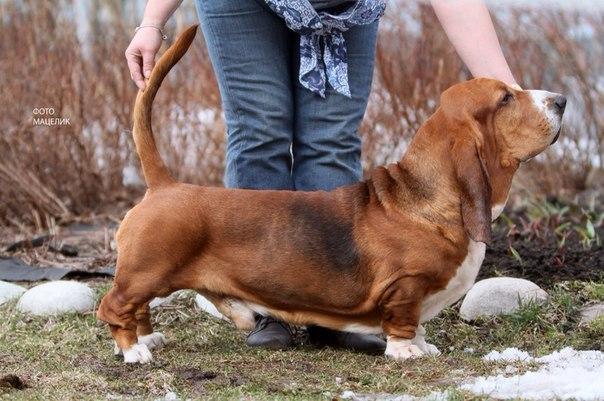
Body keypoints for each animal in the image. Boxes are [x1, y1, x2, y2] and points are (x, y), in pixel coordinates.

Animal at [98, 25, 568, 362]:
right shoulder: (405, 287)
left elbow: (419, 324)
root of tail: (165, 184)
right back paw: (134, 352)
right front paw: (407, 351)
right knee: (113, 305)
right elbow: (404, 321)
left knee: (136, 308)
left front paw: (424, 344)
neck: (426, 201)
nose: (562, 100)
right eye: (505, 99)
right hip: (148, 270)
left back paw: (148, 339)